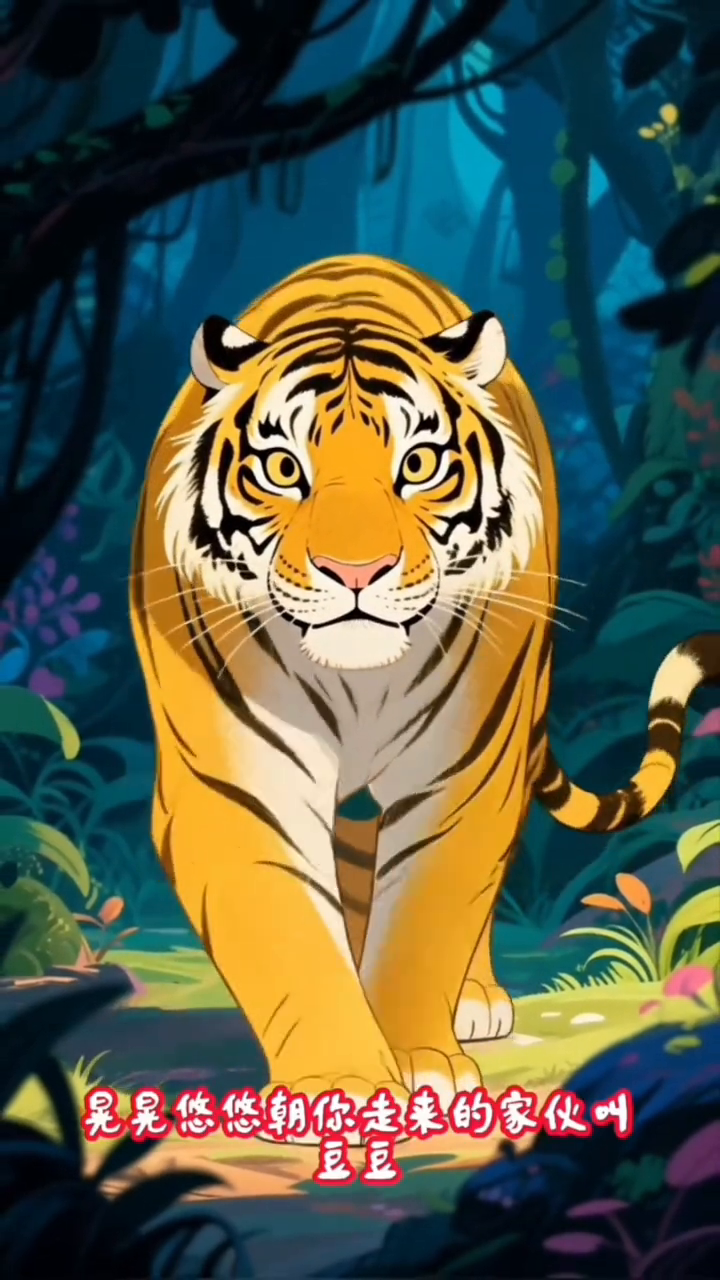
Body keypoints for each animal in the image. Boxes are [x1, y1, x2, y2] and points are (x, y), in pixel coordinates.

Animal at [130, 253, 719, 1141]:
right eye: (283, 471)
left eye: (417, 466)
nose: (356, 572)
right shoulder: (233, 787)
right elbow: (292, 930)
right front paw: (340, 1080)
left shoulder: (466, 771)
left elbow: (426, 918)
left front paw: (418, 1059)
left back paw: (473, 1000)